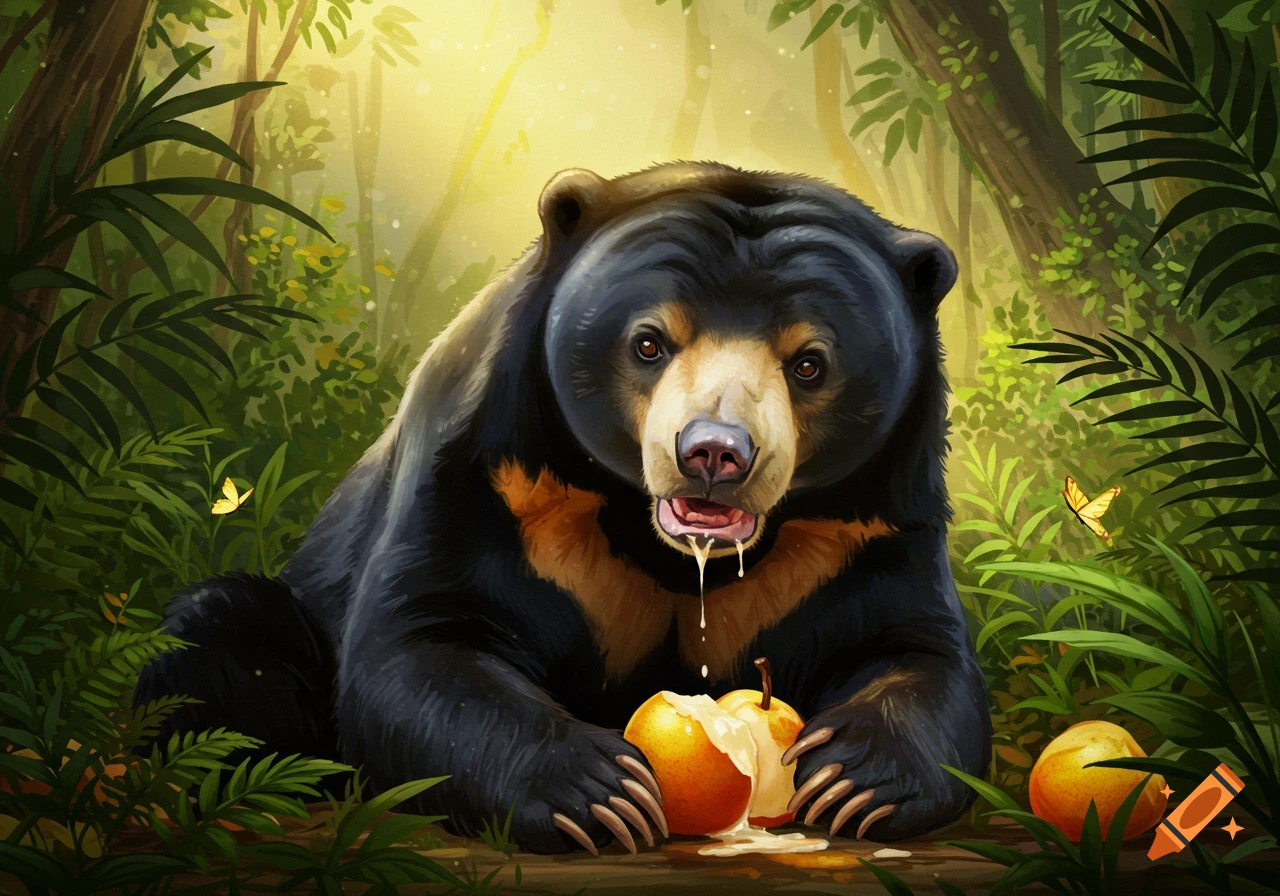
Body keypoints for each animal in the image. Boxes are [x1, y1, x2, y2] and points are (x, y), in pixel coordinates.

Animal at [134, 162, 991, 855]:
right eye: (648, 343)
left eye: (809, 362)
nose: (714, 455)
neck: (664, 544)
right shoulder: (491, 476)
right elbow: (422, 642)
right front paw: (601, 793)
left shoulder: (865, 526)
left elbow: (918, 652)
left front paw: (853, 778)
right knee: (219, 630)